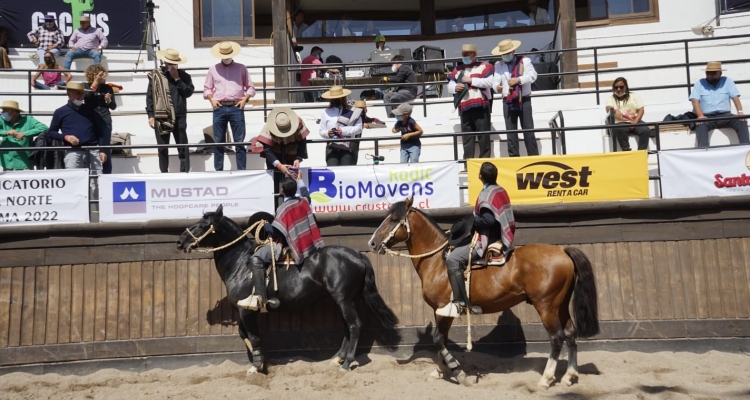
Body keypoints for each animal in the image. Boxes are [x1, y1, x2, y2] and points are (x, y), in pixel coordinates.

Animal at [177, 205, 400, 374]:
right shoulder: (245, 311)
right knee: (347, 327)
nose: (179, 241)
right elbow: (244, 334)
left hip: (343, 299)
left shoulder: (246, 310)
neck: (240, 263)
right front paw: (261, 362)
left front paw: (257, 366)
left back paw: (346, 363)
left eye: (203, 225)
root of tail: (358, 256)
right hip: (345, 300)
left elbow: (253, 336)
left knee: (354, 325)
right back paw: (337, 359)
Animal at [368, 198, 604, 388]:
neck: (437, 261)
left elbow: (438, 339)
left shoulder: (443, 309)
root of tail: (562, 250)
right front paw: (440, 370)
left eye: (392, 220)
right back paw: (569, 376)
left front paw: (458, 373)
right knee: (571, 334)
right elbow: (442, 340)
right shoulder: (442, 312)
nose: (372, 242)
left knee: (556, 338)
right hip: (561, 305)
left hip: (546, 306)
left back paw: (546, 379)